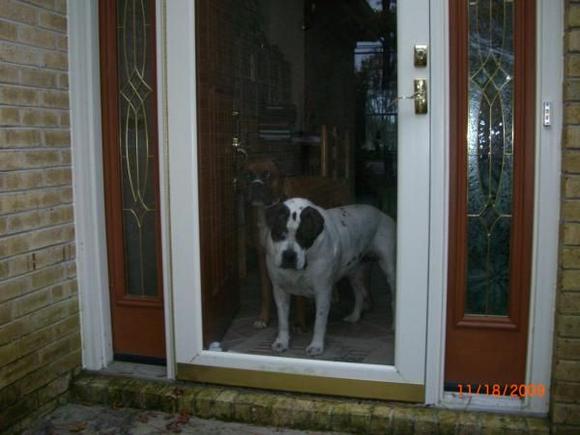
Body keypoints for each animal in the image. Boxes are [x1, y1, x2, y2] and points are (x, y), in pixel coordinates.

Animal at [266, 199, 396, 356]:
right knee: (359, 293)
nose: (289, 256)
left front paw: (316, 346)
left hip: (389, 270)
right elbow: (283, 321)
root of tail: (381, 213)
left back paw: (394, 325)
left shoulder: (323, 292)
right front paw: (282, 342)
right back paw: (355, 316)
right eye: (280, 233)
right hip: (355, 272)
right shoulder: (279, 291)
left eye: (304, 236)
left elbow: (319, 322)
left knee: (393, 298)